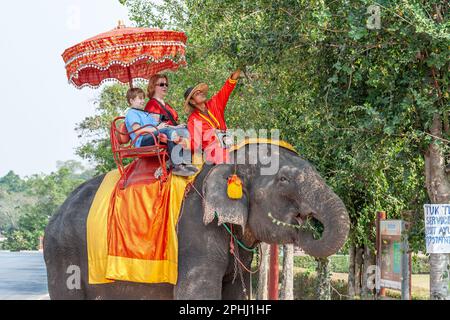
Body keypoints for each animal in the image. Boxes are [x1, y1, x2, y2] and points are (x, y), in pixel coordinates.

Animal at [44, 144, 350, 298]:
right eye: (284, 179)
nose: (307, 225)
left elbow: (236, 293)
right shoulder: (194, 236)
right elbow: (197, 294)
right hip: (63, 256)